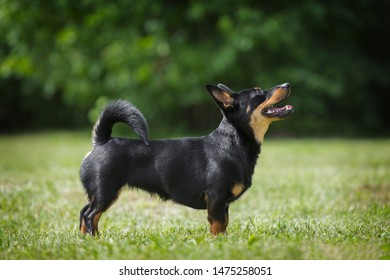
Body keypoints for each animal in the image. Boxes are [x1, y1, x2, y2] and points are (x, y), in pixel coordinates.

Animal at [79, 82, 292, 235]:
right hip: (106, 192)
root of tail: (102, 141)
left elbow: (224, 223)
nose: (287, 84)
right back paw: (94, 238)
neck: (234, 143)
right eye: (258, 93)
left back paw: (87, 238)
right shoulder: (216, 198)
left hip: (100, 195)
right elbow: (218, 225)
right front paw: (218, 242)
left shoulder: (222, 204)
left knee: (84, 212)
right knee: (90, 215)